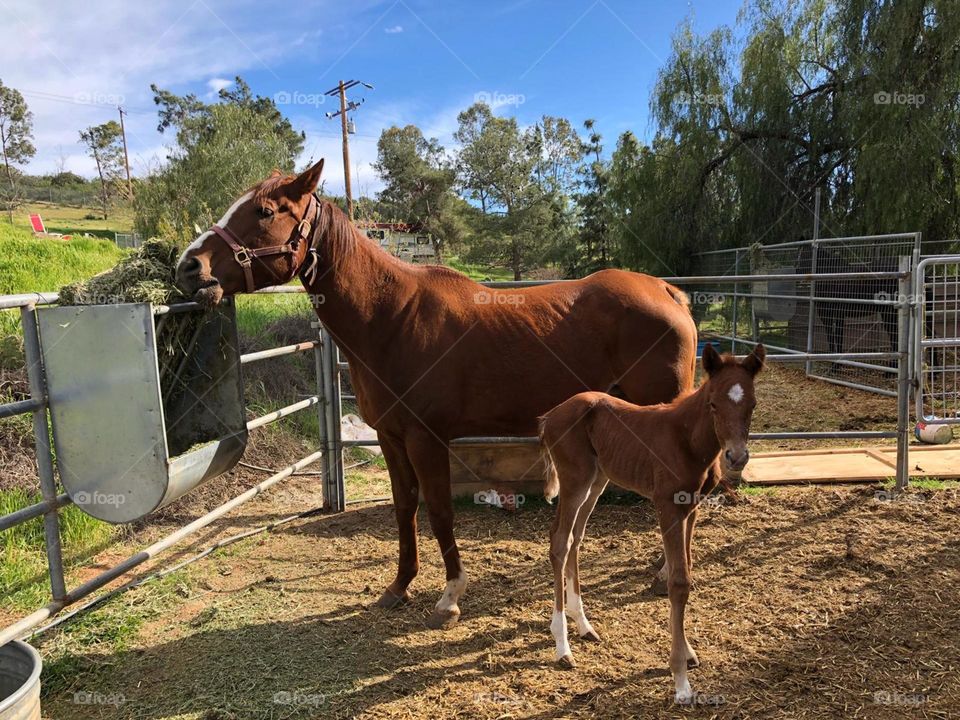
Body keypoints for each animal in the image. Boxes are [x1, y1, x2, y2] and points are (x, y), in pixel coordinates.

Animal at [175, 160, 698, 629]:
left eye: (264, 211)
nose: (189, 267)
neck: (391, 317)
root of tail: (668, 291)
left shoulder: (427, 439)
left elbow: (441, 511)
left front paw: (450, 596)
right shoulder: (390, 437)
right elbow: (405, 507)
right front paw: (399, 586)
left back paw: (663, 574)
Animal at [538, 343, 764, 704]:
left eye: (753, 404)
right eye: (713, 403)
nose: (736, 457)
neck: (687, 438)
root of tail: (552, 415)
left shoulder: (691, 508)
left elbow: (686, 569)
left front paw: (687, 653)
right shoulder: (667, 506)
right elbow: (678, 582)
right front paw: (681, 680)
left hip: (596, 481)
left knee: (575, 537)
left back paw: (583, 624)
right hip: (575, 480)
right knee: (559, 541)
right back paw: (562, 646)